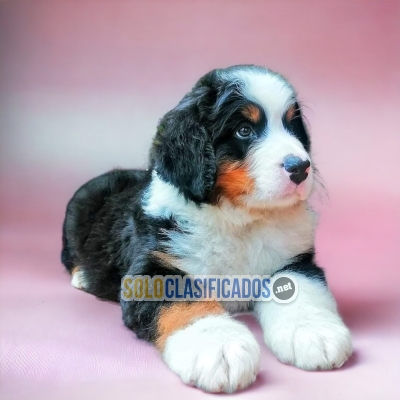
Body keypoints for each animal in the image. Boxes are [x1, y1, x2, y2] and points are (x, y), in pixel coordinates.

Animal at [61, 65, 352, 394]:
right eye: (243, 130)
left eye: (293, 126)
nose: (300, 167)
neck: (239, 220)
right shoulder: (154, 269)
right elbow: (186, 306)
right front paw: (219, 347)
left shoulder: (294, 260)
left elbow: (301, 290)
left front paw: (314, 332)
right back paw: (83, 277)